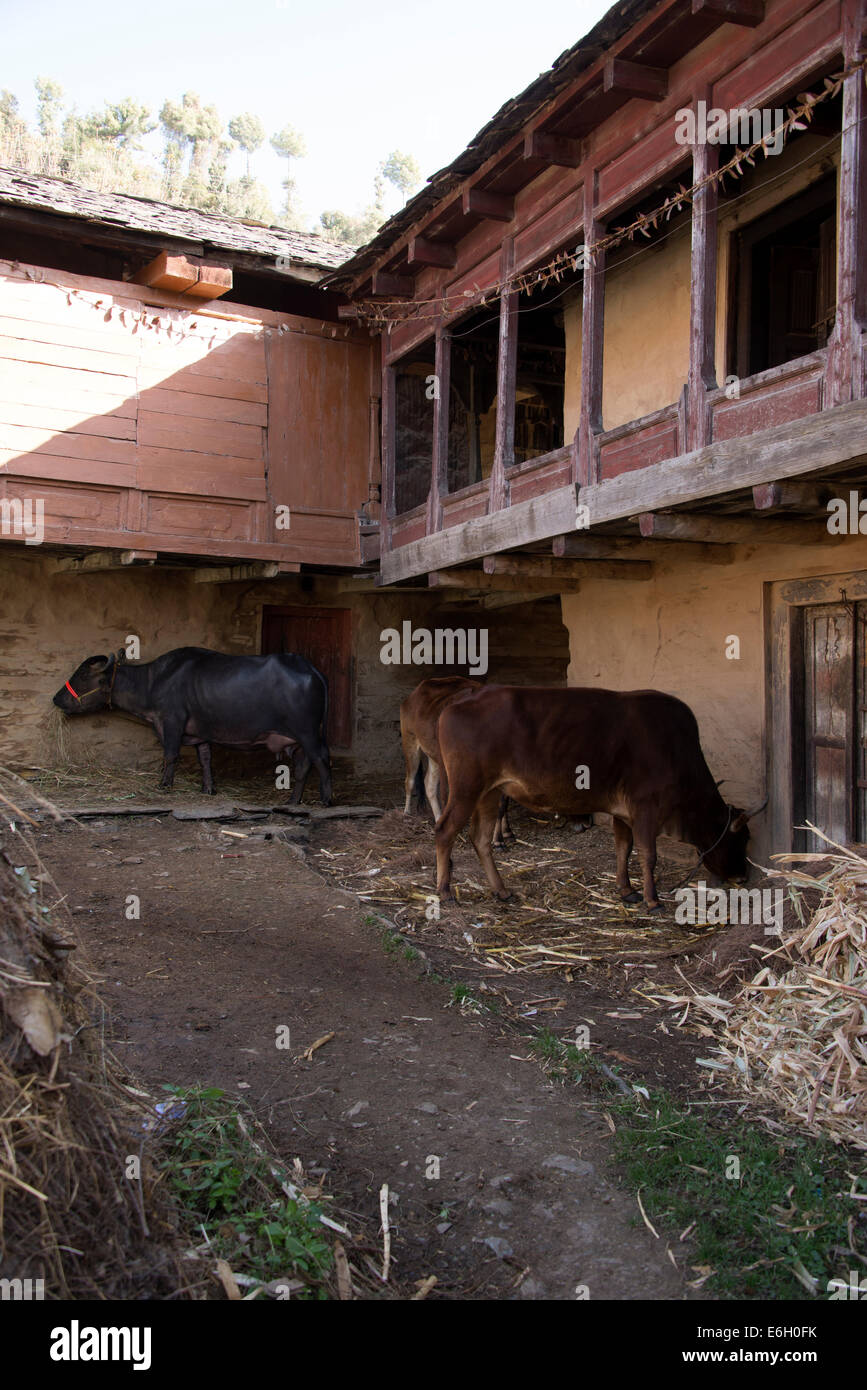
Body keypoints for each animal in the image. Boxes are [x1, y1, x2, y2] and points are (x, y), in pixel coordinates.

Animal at [53, 647, 332, 806]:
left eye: (82, 675)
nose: (56, 698)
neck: (155, 681)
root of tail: (312, 670)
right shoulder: (201, 733)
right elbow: (205, 759)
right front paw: (208, 788)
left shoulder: (171, 722)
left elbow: (170, 755)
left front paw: (164, 785)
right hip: (297, 740)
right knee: (303, 765)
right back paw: (293, 800)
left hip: (308, 733)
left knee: (321, 758)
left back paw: (326, 799)